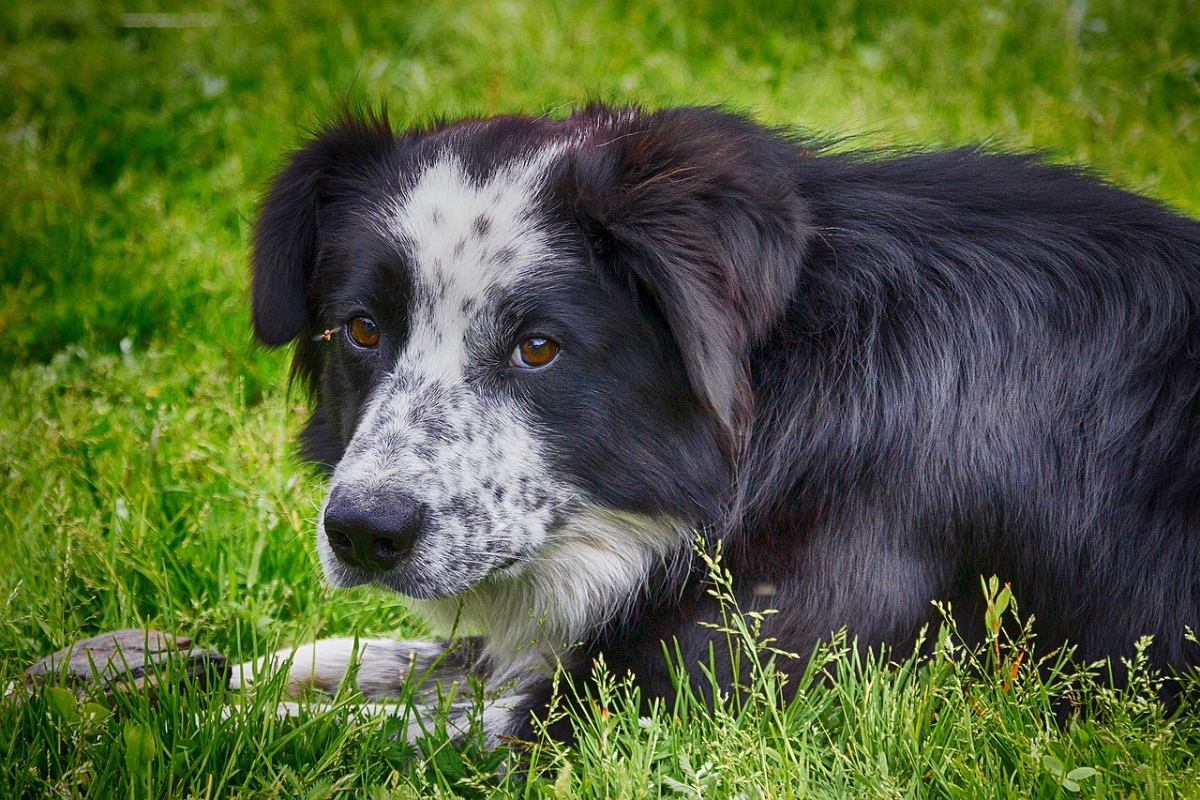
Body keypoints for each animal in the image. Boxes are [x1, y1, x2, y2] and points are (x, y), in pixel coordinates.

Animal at [241, 101, 1200, 743]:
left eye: (538, 347)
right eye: (363, 329)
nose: (364, 533)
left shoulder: (700, 693)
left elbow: (363, 726)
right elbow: (378, 657)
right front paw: (222, 673)